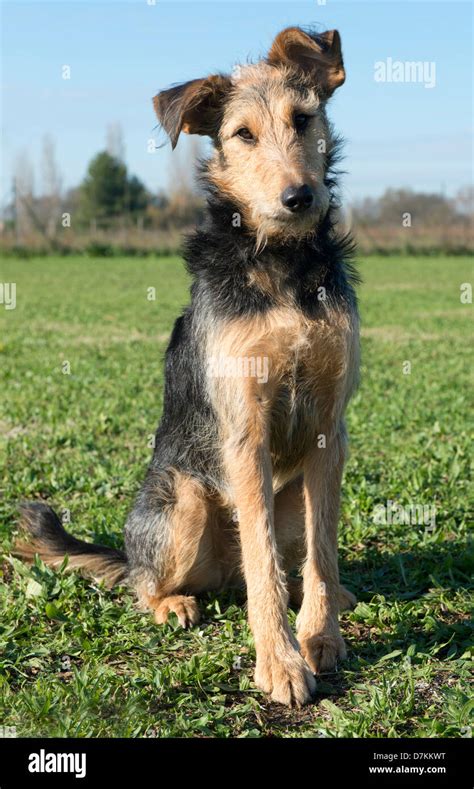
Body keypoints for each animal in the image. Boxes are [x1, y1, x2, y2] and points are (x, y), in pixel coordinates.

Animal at [16, 27, 362, 708]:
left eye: (303, 119)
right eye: (242, 134)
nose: (298, 198)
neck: (284, 269)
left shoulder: (328, 428)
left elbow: (323, 551)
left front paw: (320, 636)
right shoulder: (245, 429)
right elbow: (263, 563)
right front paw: (279, 663)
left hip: (289, 498)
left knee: (286, 561)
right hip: (183, 504)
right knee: (148, 581)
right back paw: (172, 603)